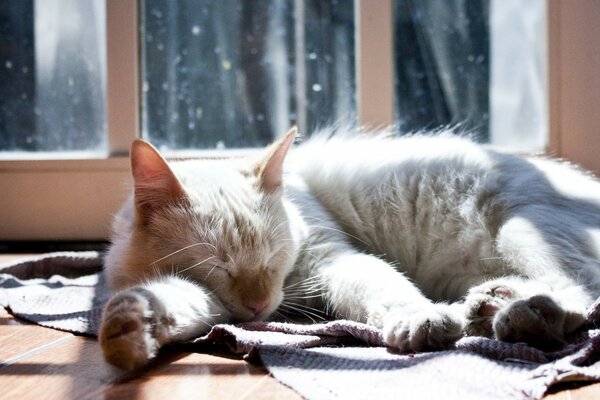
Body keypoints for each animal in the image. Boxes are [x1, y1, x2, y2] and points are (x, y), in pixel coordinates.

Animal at [99, 127, 600, 368]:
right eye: (219, 267)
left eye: (272, 258)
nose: (259, 307)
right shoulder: (208, 297)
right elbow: (170, 301)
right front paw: (130, 329)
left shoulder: (334, 260)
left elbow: (387, 289)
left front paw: (422, 320)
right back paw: (493, 303)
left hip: (518, 230)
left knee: (582, 293)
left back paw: (525, 316)